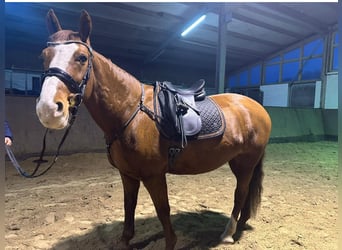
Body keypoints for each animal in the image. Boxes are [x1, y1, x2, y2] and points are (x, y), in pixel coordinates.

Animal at [36, 9, 272, 250]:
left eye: (82, 58)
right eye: (43, 56)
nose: (48, 109)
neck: (130, 111)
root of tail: (257, 107)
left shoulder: (153, 176)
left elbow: (163, 211)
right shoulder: (128, 175)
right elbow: (129, 207)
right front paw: (125, 240)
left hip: (246, 162)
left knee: (240, 193)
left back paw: (228, 233)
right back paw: (241, 224)